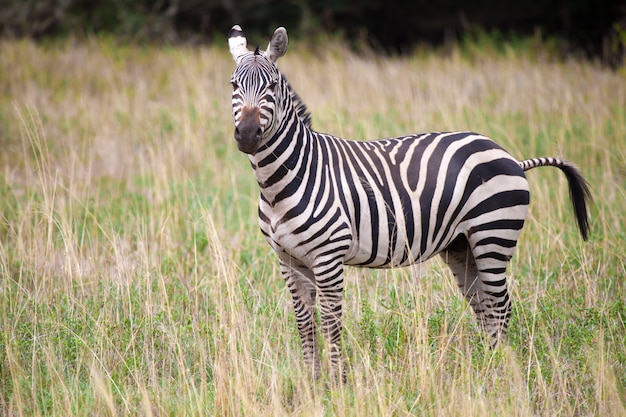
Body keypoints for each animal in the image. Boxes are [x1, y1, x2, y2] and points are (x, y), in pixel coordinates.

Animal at [227, 23, 588, 380]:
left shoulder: (328, 258)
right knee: (484, 306)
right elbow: (304, 323)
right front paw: (311, 382)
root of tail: (510, 156)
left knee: (500, 306)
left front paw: (338, 383)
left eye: (272, 86)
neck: (282, 182)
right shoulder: (287, 259)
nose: (247, 135)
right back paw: (485, 369)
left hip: (494, 234)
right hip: (461, 245)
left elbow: (331, 323)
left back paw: (496, 372)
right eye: (233, 85)